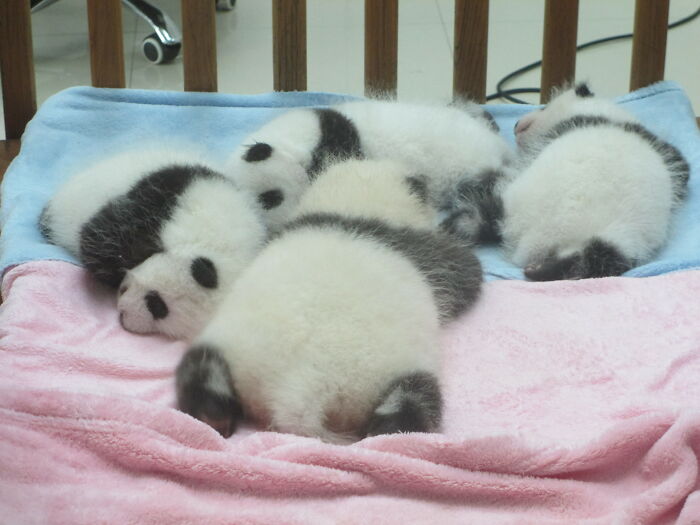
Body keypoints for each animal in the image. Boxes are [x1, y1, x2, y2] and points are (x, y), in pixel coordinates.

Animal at [175, 159, 483, 442]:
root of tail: (302, 388)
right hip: (389, 374)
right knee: (413, 399)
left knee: (202, 367)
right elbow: (462, 273)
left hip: (232, 347)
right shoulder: (420, 250)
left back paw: (211, 414)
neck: (351, 207)